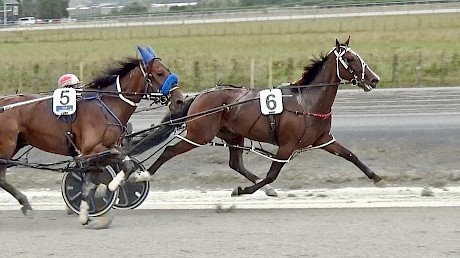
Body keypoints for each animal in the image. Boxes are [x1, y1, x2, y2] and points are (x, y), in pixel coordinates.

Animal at [0, 46, 183, 228]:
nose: (180, 100)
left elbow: (95, 179)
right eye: (159, 72)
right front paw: (111, 187)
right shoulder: (92, 151)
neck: (108, 105)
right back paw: (26, 204)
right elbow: (124, 165)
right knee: (1, 178)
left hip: (17, 143)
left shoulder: (102, 152)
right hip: (7, 145)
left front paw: (86, 213)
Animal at [131, 37, 386, 196]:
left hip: (232, 135)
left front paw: (377, 177)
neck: (307, 101)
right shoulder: (287, 145)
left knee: (235, 164)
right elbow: (272, 174)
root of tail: (200, 96)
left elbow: (350, 155)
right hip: (199, 135)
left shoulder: (323, 139)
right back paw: (142, 175)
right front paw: (244, 191)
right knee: (168, 151)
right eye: (350, 59)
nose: (375, 79)